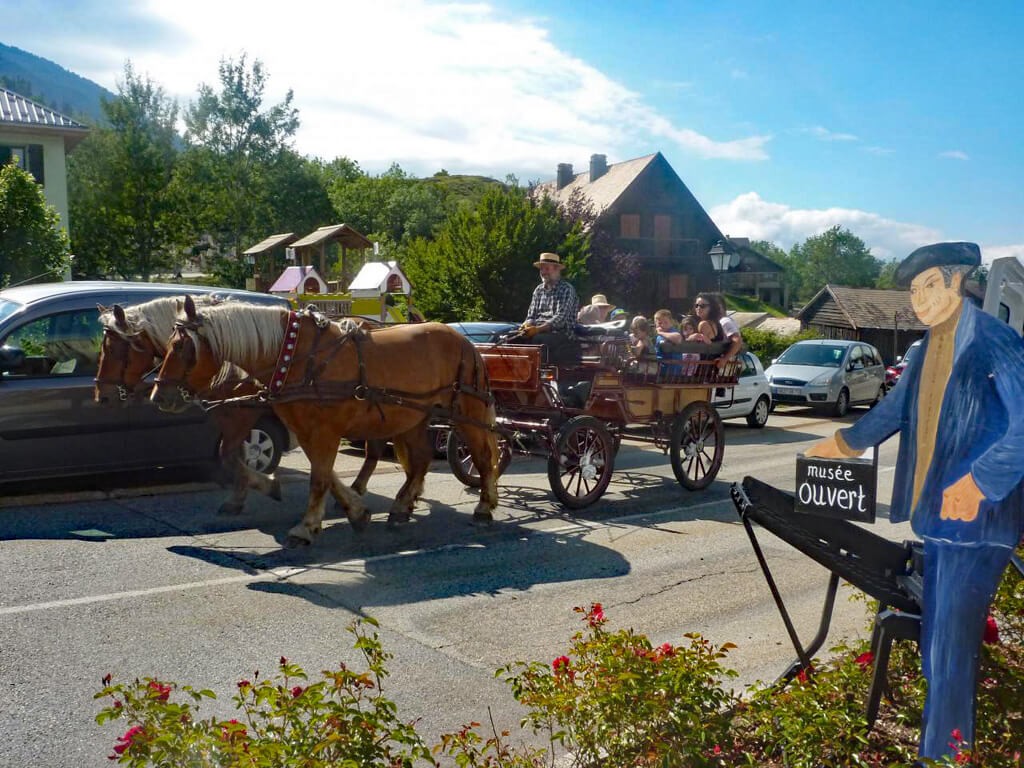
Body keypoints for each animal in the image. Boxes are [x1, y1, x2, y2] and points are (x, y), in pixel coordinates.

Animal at [95, 296, 385, 514]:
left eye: (114, 350)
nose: (102, 396)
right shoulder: (230, 414)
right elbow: (235, 456)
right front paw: (241, 497)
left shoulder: (244, 414)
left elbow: (231, 455)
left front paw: (266, 486)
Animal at [151, 296, 499, 548]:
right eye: (165, 345)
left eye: (181, 347)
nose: (159, 396)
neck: (295, 355)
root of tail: (464, 342)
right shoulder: (307, 430)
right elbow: (326, 474)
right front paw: (356, 511)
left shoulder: (324, 431)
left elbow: (319, 478)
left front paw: (305, 527)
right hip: (413, 416)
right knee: (422, 459)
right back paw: (401, 507)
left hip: (467, 411)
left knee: (482, 457)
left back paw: (484, 507)